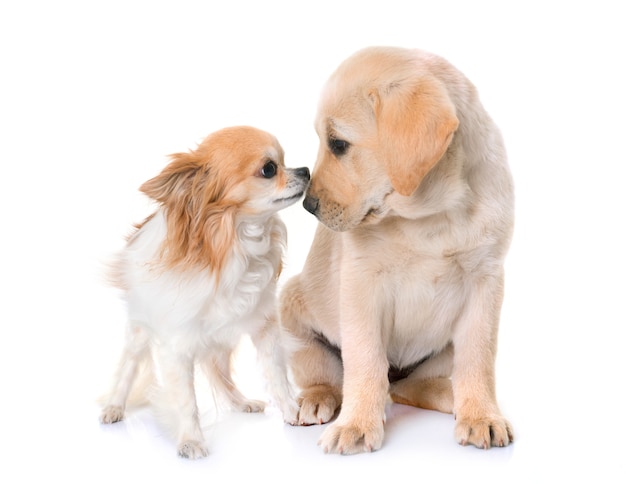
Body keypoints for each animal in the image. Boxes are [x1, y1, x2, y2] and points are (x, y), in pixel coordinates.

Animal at [280, 46, 512, 454]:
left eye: (338, 144)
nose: (308, 205)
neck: (432, 215)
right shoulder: (362, 286)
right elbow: (366, 362)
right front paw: (356, 424)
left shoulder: (486, 282)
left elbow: (478, 359)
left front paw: (482, 415)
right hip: (291, 311)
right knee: (331, 376)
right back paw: (316, 399)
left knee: (410, 386)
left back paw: (451, 395)